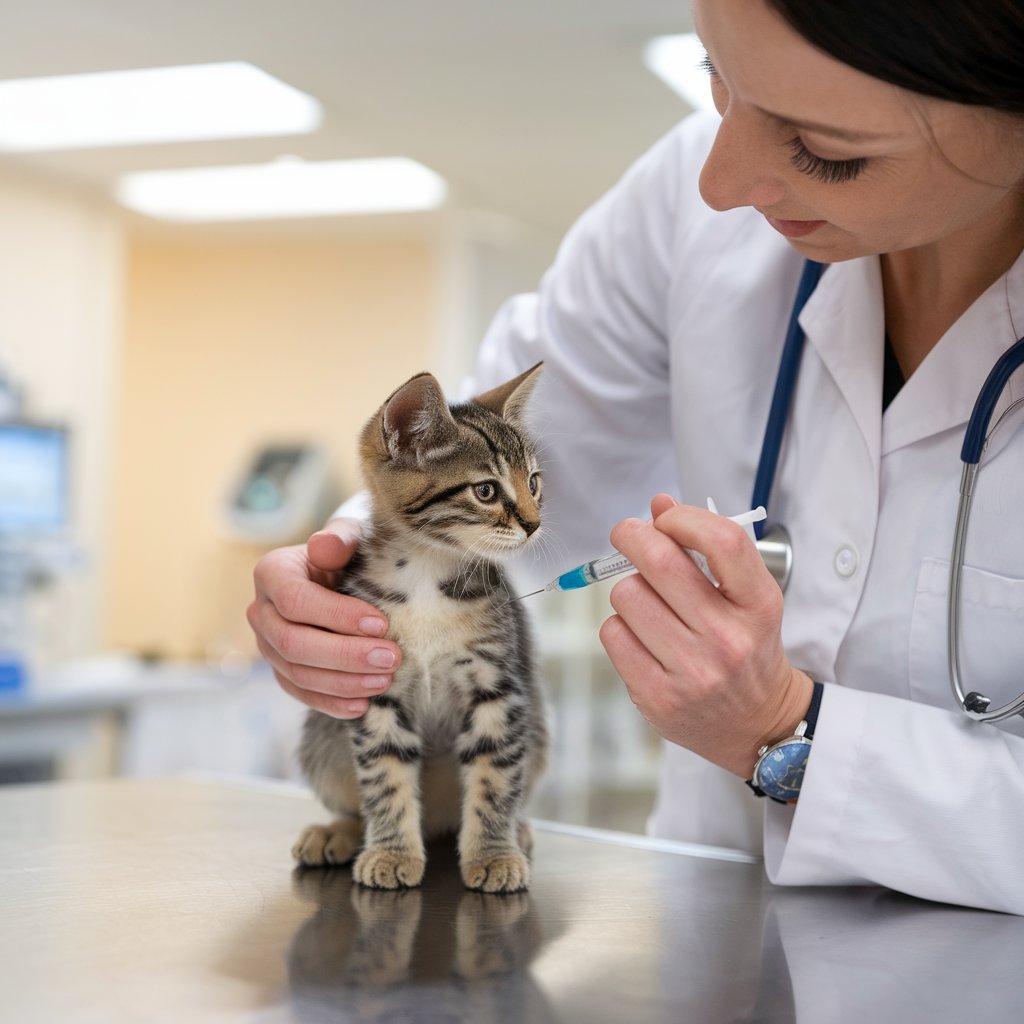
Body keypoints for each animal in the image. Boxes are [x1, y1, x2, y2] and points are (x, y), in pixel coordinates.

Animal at [294, 364, 552, 892]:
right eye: (486, 490)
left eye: (534, 482)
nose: (535, 524)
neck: (427, 573)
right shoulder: (376, 690)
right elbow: (385, 776)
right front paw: (392, 851)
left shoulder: (498, 688)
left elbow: (496, 777)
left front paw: (493, 854)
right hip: (321, 739)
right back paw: (338, 831)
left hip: (538, 733)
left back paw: (517, 831)